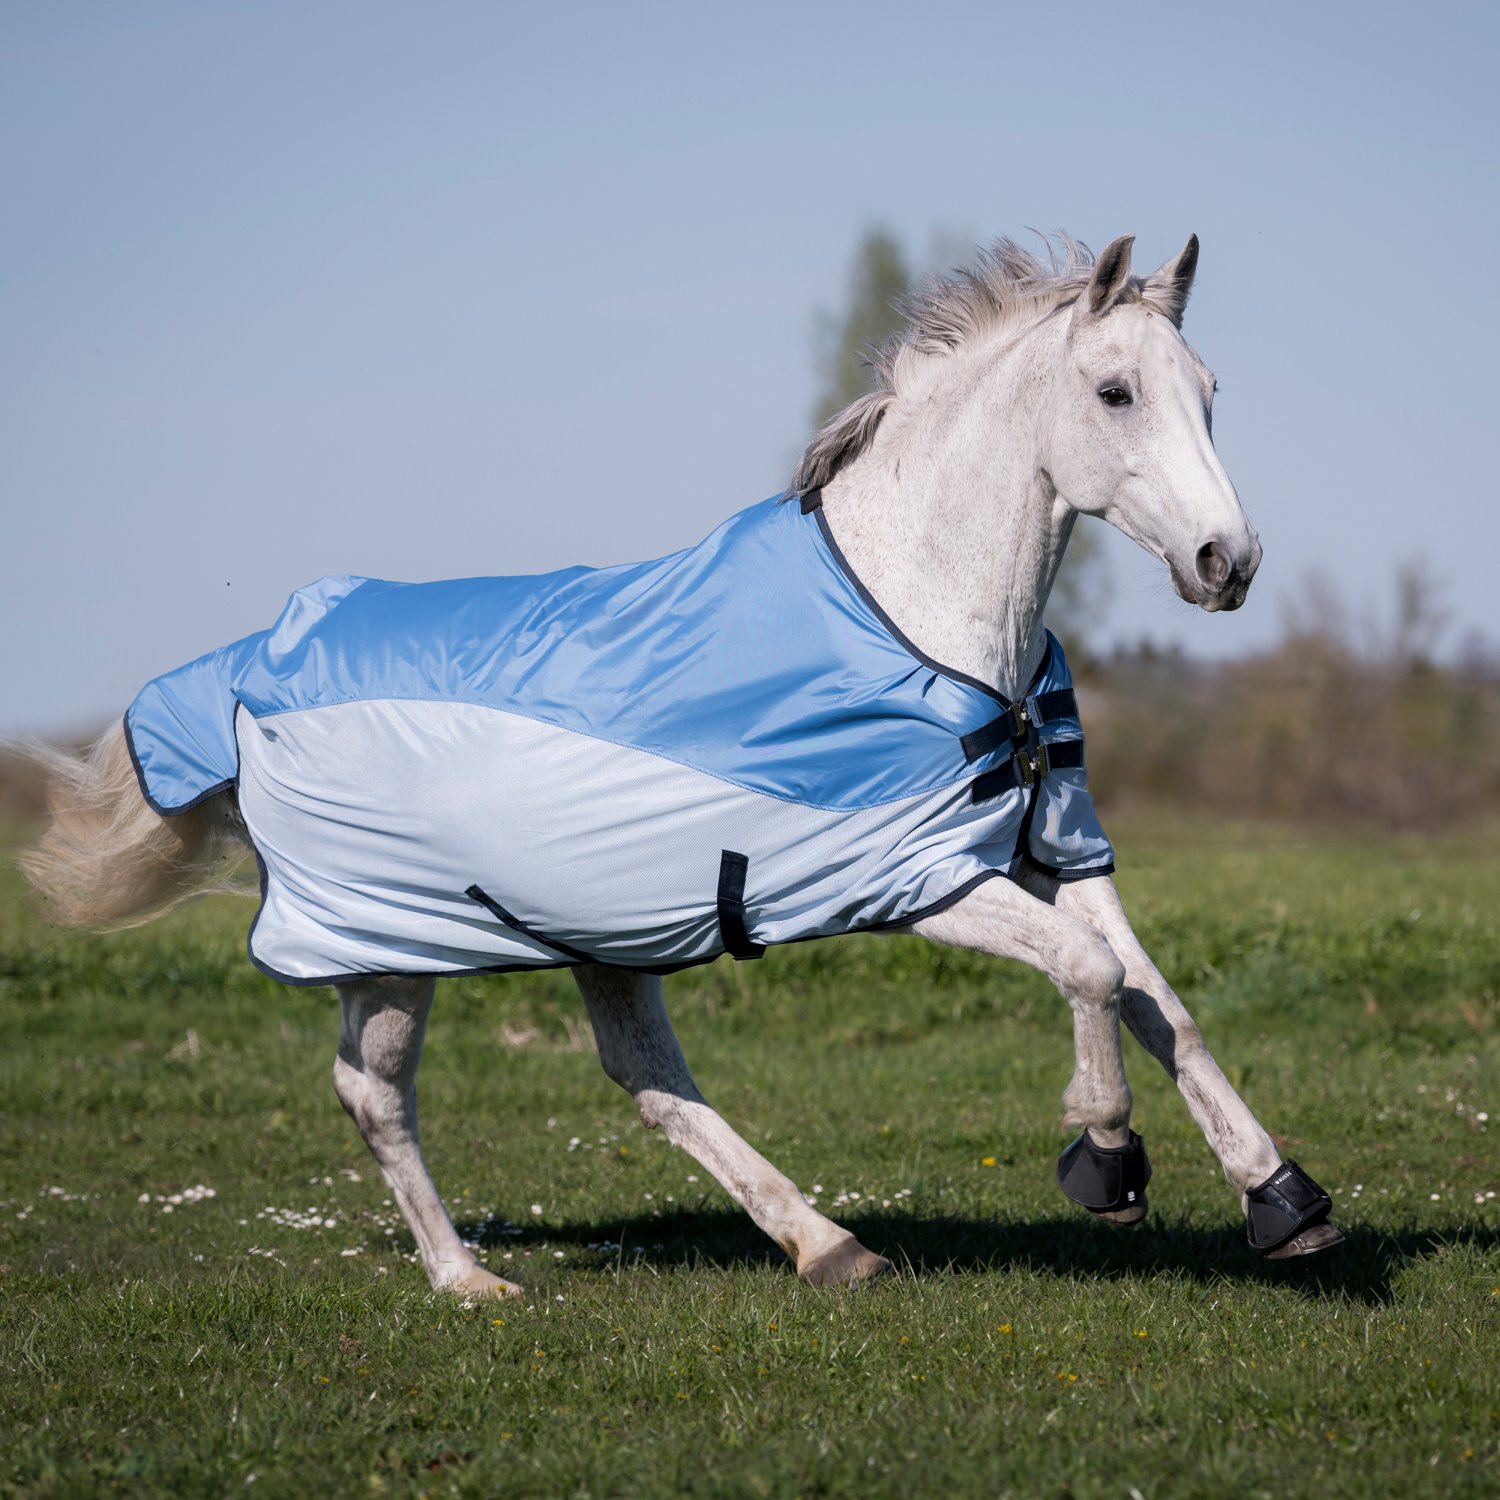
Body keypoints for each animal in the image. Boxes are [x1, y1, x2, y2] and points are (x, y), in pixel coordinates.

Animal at [20, 228, 1338, 1296]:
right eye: (1115, 390)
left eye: (1209, 393)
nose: (1228, 562)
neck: (917, 616)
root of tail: (253, 662)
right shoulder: (913, 879)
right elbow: (1090, 976)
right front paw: (1104, 1159)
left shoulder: (1054, 849)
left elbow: (1160, 1002)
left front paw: (1282, 1200)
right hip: (387, 948)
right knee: (377, 1095)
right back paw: (468, 1281)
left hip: (595, 933)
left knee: (645, 1077)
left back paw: (828, 1247)